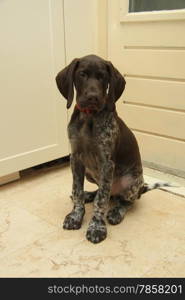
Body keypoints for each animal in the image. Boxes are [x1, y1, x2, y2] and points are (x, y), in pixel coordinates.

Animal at [55, 54, 169, 244]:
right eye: (82, 74)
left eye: (103, 77)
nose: (93, 97)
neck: (89, 117)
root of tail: (142, 188)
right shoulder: (76, 158)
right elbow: (77, 190)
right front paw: (76, 215)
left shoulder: (106, 163)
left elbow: (101, 200)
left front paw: (96, 227)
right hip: (90, 173)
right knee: (102, 191)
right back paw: (89, 195)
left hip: (132, 182)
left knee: (125, 201)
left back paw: (116, 211)